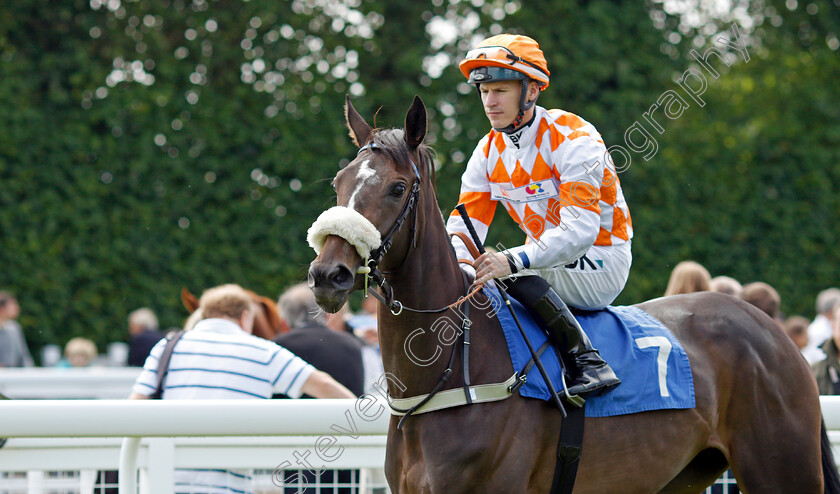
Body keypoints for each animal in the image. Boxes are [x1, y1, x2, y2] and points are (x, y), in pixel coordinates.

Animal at [308, 94, 840, 492]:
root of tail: (772, 331)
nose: (328, 274)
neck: (449, 374)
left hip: (780, 469)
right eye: (338, 183)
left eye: (397, 188)